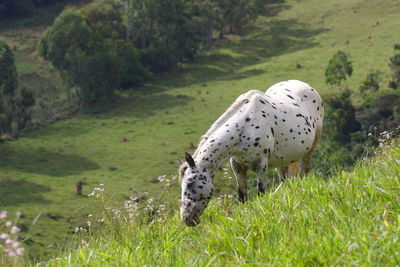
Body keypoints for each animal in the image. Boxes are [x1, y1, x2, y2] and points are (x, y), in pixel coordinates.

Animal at [180, 79, 324, 226]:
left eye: (190, 183)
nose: (187, 219)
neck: (246, 126)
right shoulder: (237, 166)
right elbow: (242, 196)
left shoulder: (262, 164)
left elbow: (261, 192)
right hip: (283, 160)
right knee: (286, 180)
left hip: (309, 151)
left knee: (303, 174)